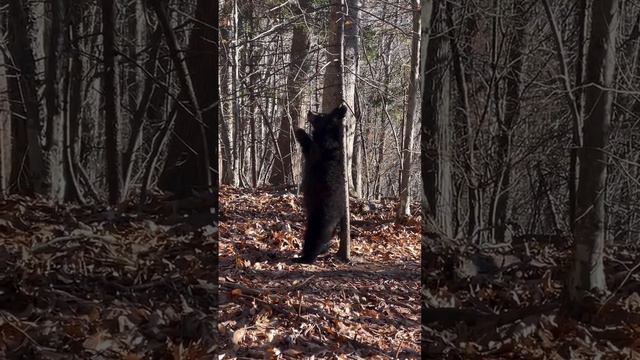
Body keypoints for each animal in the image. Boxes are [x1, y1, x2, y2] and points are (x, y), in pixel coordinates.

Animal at [292, 104, 348, 264]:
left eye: (321, 115)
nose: (310, 111)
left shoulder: (321, 150)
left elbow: (310, 146)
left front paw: (300, 131)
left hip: (320, 219)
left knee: (314, 239)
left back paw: (303, 257)